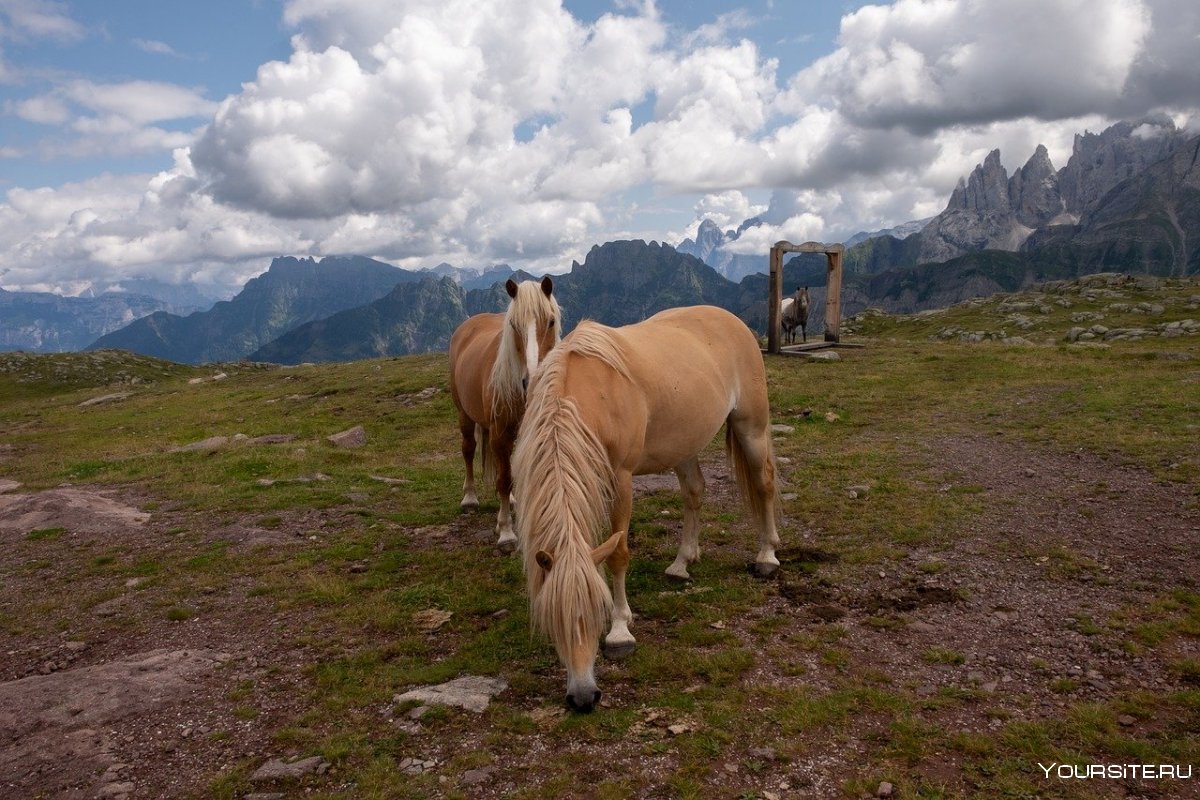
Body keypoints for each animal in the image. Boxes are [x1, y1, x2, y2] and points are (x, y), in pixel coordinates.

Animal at [451, 278, 561, 554]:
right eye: (513, 324)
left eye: (551, 321)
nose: (532, 380)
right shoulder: (499, 434)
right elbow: (504, 480)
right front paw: (506, 533)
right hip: (464, 415)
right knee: (468, 450)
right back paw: (469, 498)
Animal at [513, 307, 777, 714]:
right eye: (553, 619)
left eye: (597, 610)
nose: (584, 697)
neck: (585, 393)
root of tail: (729, 319)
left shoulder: (620, 479)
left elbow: (618, 554)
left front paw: (621, 630)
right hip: (685, 443)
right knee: (694, 492)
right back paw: (682, 562)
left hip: (752, 427)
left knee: (764, 483)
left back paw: (767, 555)